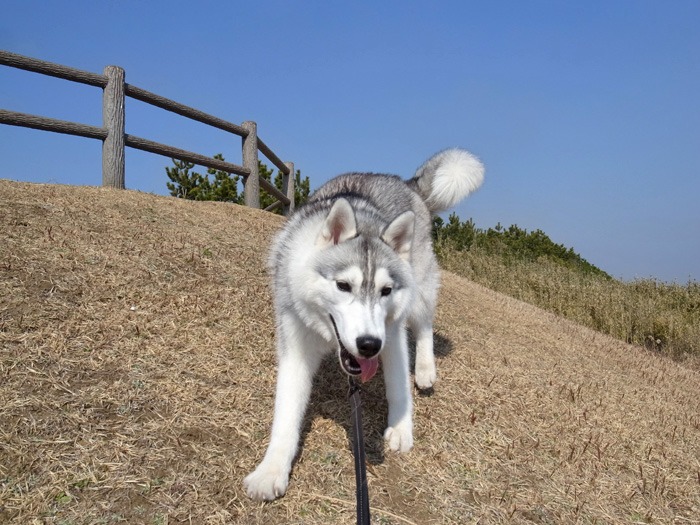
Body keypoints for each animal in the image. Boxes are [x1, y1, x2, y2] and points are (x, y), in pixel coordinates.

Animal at [245, 147, 482, 500]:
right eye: (343, 286)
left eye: (385, 291)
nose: (369, 345)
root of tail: (403, 181)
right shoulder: (295, 340)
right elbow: (286, 412)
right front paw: (271, 470)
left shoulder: (391, 332)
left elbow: (398, 384)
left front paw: (401, 428)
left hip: (420, 290)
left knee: (424, 325)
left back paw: (425, 370)